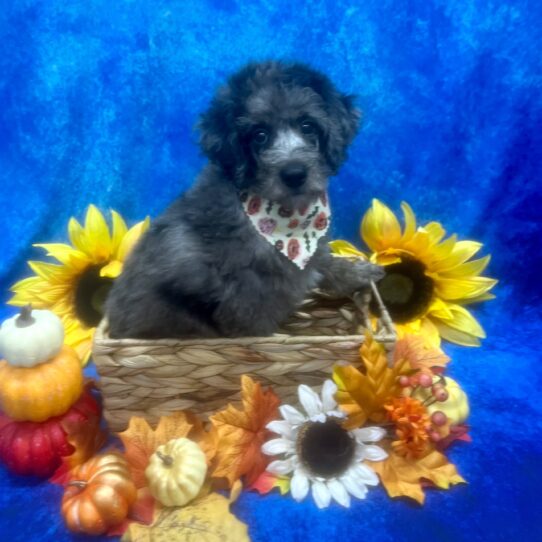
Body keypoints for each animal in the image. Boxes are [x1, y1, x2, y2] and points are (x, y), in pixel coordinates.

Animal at [106, 60, 384, 340]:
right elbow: (256, 331)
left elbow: (322, 259)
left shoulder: (310, 252)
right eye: (260, 134)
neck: (286, 219)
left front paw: (359, 273)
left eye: (308, 126)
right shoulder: (245, 298)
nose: (294, 174)